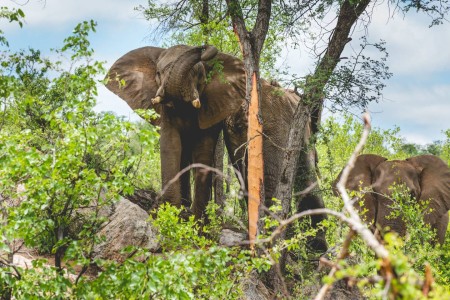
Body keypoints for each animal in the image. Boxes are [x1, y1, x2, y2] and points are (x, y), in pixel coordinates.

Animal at [107, 44, 326, 251]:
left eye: (199, 75)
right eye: (159, 73)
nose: (204, 47)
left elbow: (203, 149)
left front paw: (195, 226)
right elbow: (171, 145)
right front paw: (171, 219)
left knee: (305, 177)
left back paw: (311, 248)